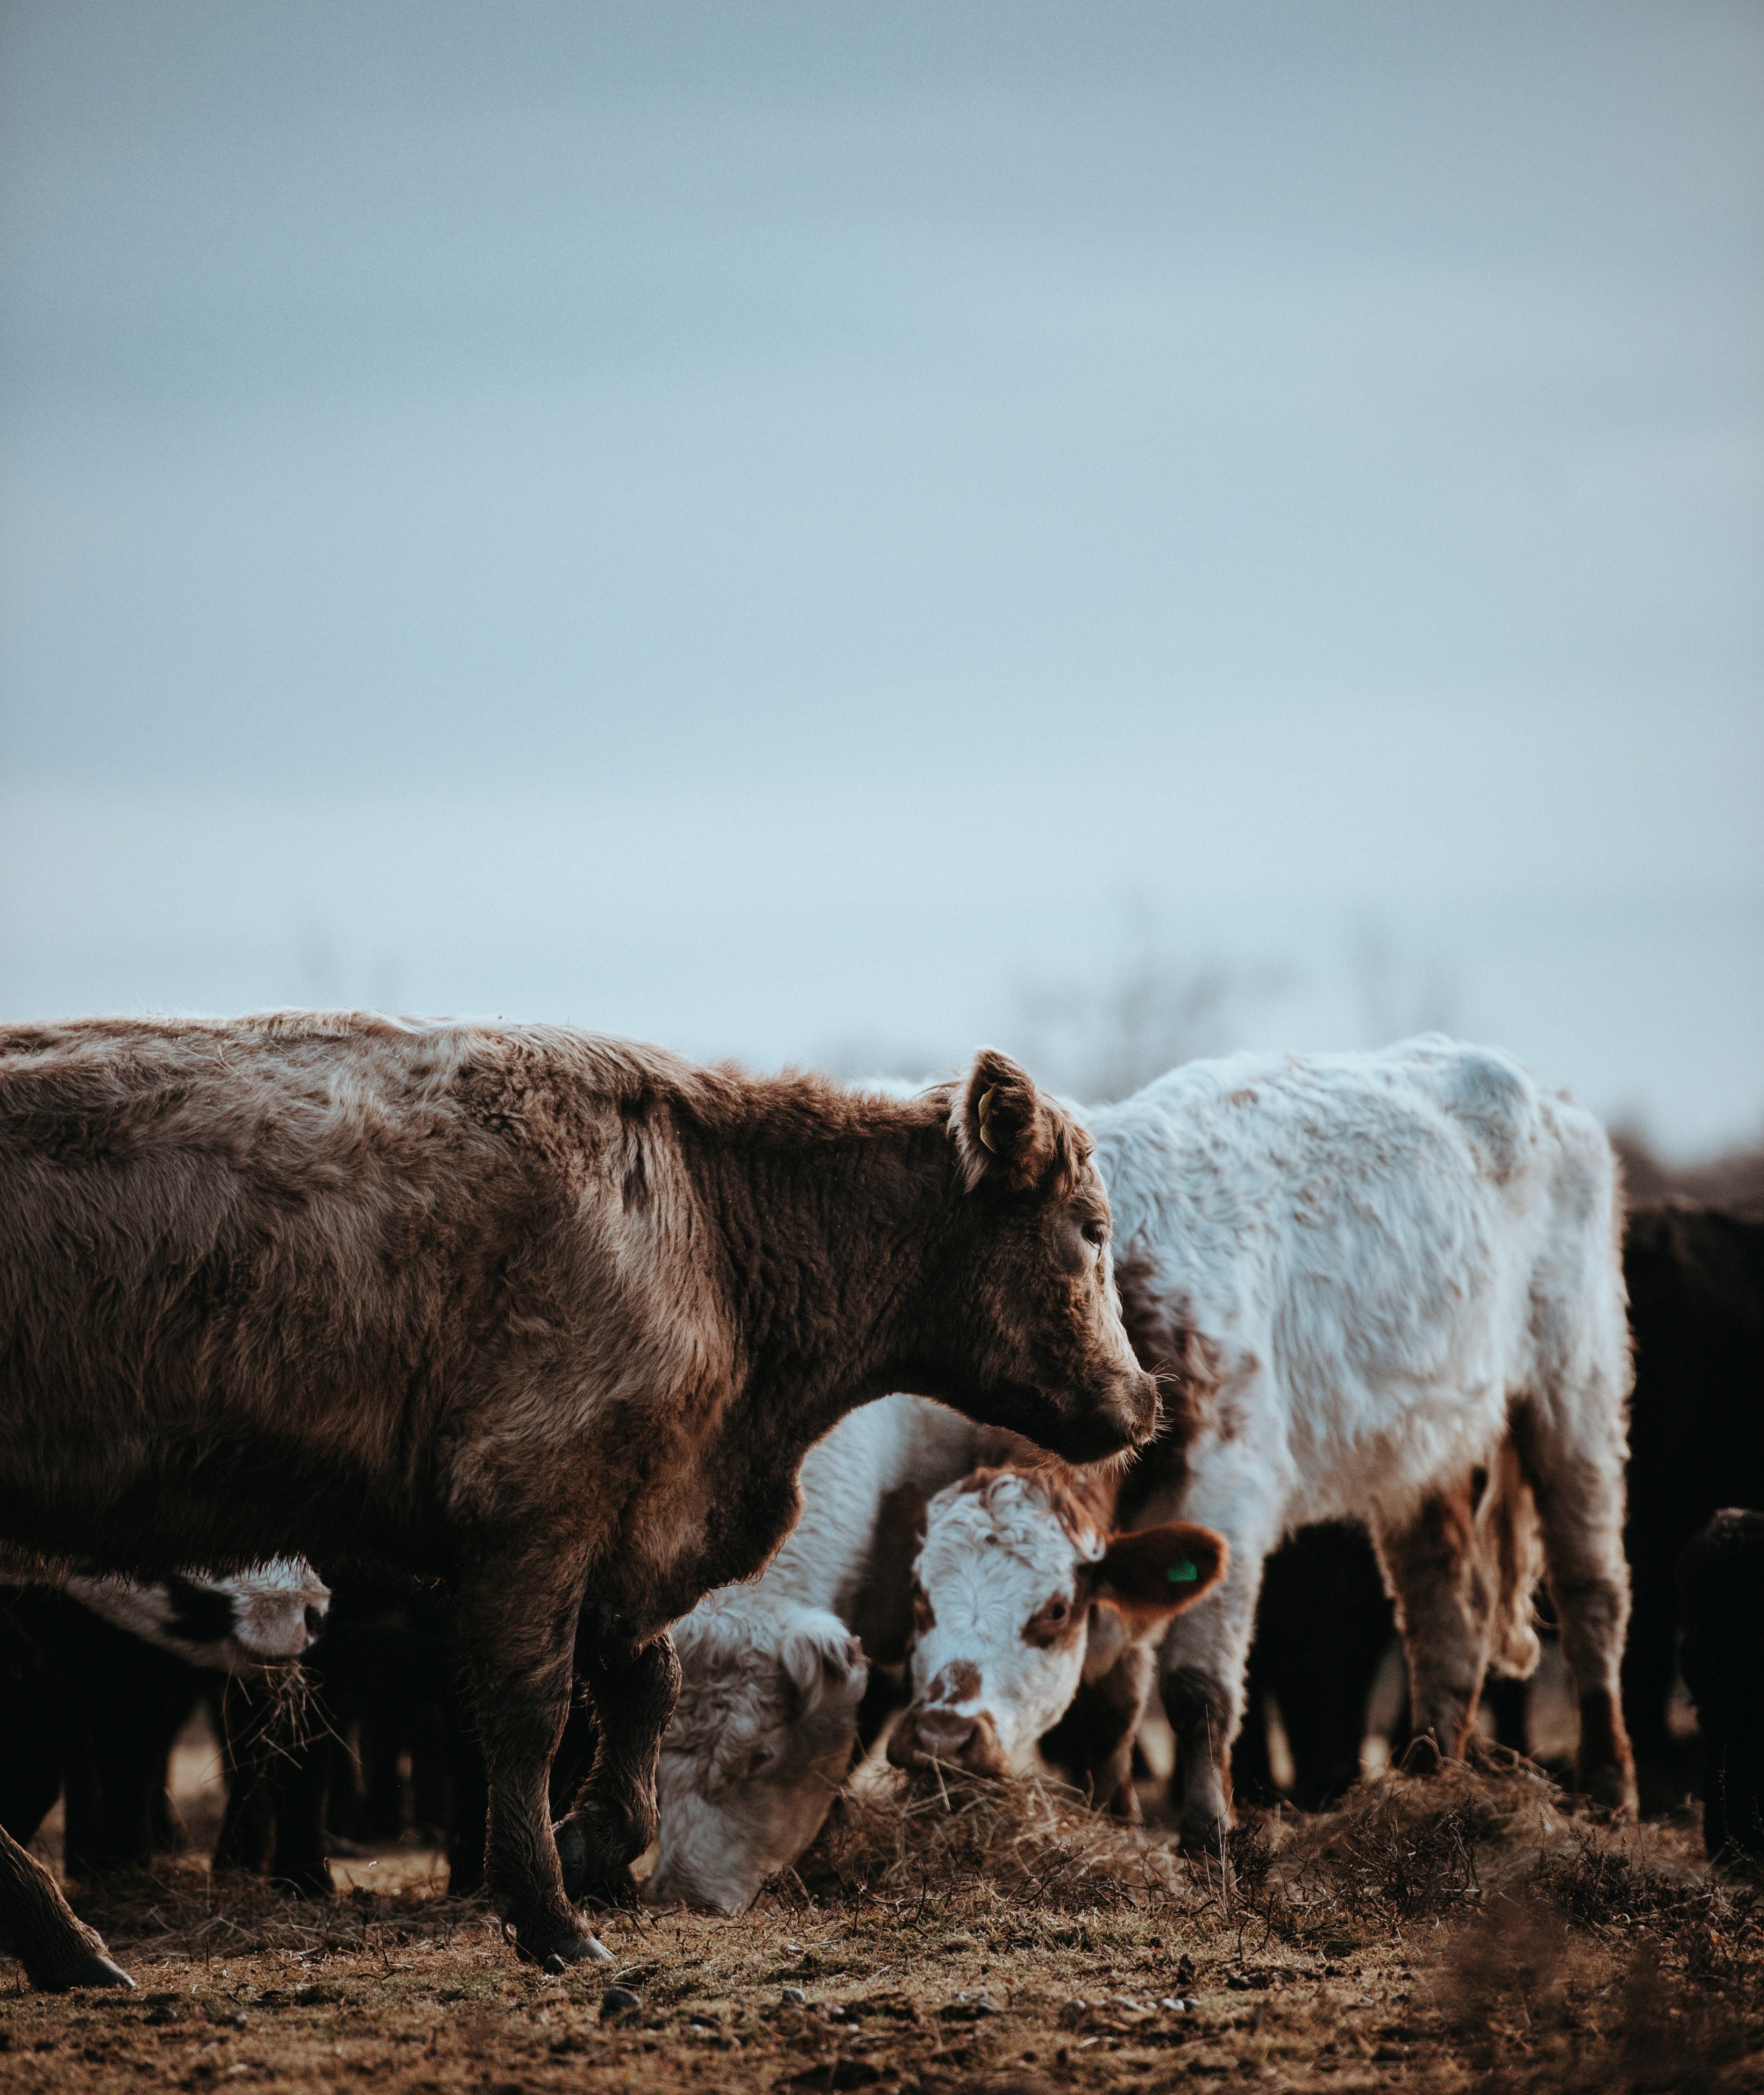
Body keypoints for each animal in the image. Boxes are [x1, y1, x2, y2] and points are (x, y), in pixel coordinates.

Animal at [0, 1014, 1155, 1988]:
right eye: (1092, 1227)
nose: (1141, 1398)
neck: (705, 1220)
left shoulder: (625, 1531)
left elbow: (647, 1684)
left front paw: (595, 1843)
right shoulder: (535, 1520)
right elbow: (533, 1718)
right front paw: (550, 1915)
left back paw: (67, 1946)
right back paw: (70, 1941)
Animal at [893, 1039, 1634, 1853]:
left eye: (1053, 1610)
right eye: (920, 1595)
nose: (941, 1737)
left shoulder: (1229, 1493)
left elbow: (1196, 1687)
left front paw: (1208, 1832)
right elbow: (1114, 1694)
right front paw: (1114, 1816)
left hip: (1576, 1394)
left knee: (1590, 1590)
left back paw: (1609, 1790)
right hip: (1420, 1450)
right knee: (1446, 1614)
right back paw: (1432, 1777)